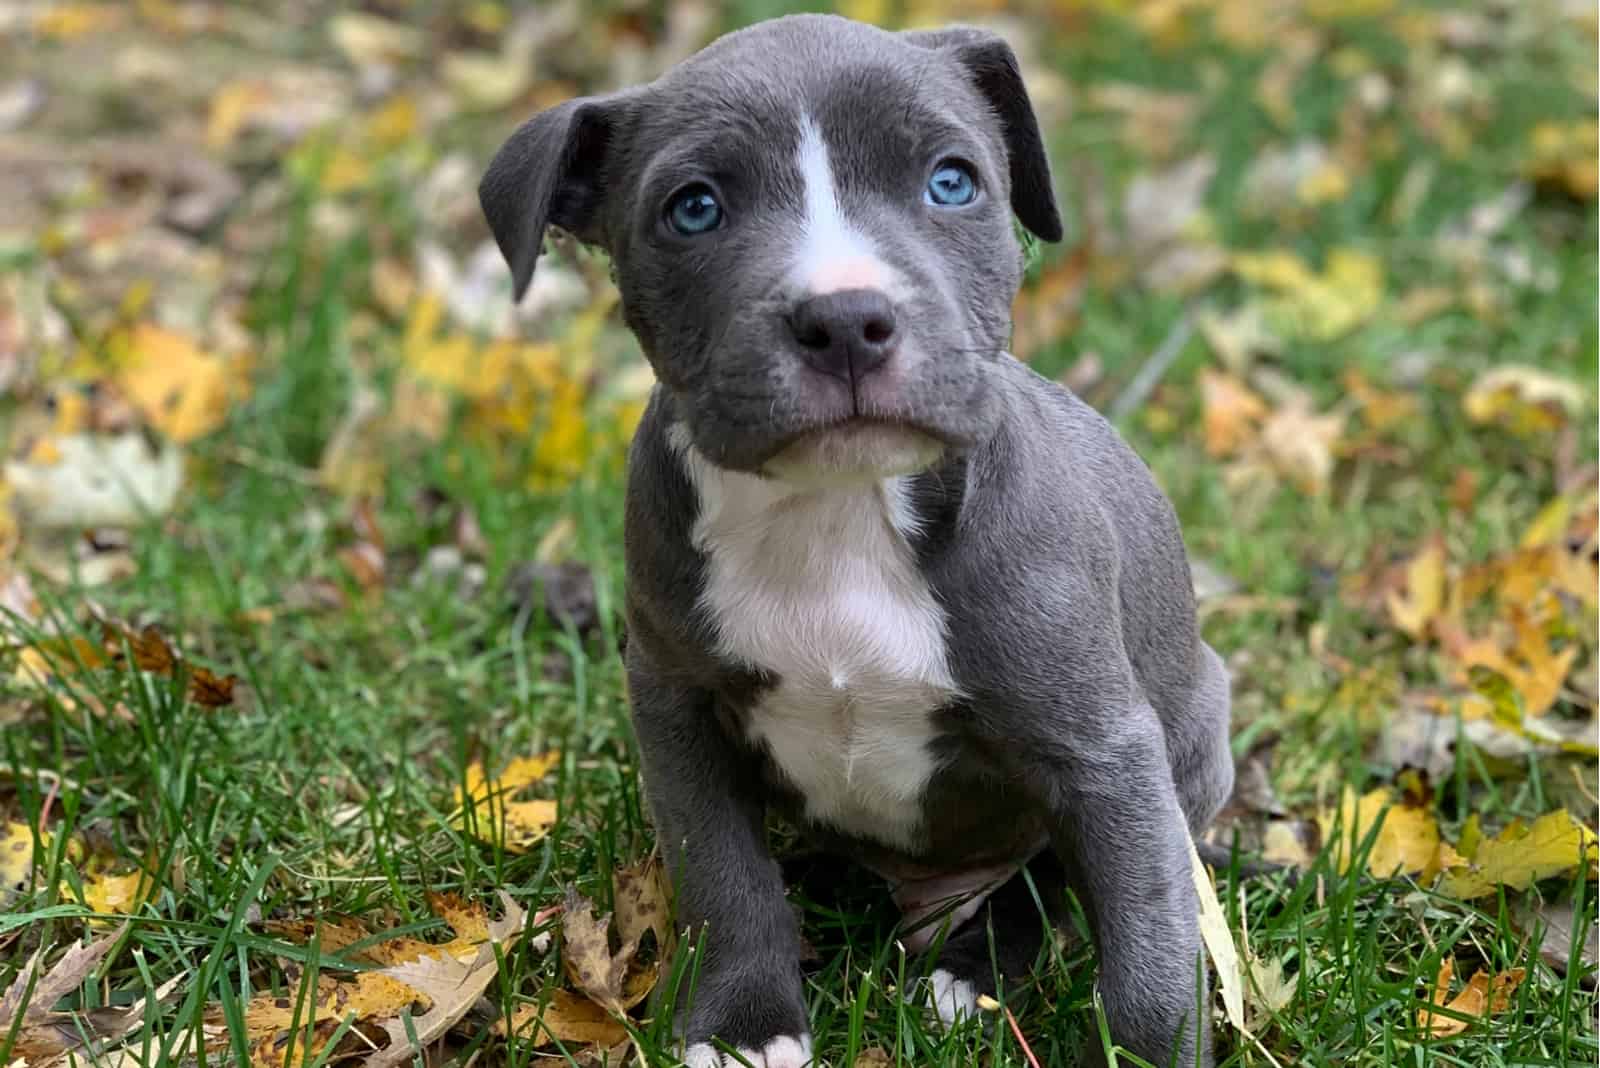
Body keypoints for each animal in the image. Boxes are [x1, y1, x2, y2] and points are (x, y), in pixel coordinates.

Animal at [480, 10, 1228, 1068]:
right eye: (694, 208)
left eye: (952, 181)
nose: (843, 319)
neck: (833, 511)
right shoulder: (676, 707)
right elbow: (726, 878)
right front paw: (747, 1025)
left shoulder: (1102, 747)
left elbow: (1147, 938)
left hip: (1193, 731)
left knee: (1047, 884)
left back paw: (968, 971)